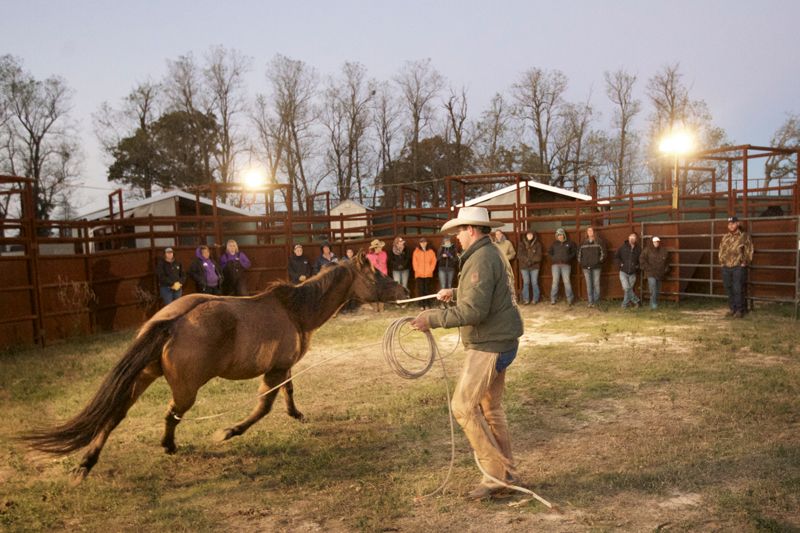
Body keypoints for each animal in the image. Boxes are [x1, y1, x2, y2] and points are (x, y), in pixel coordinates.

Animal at [21, 251, 410, 480]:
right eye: (376, 275)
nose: (402, 293)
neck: (294, 311)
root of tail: (173, 321)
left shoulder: (281, 369)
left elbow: (287, 392)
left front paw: (297, 414)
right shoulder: (274, 370)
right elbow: (264, 406)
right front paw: (228, 432)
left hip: (143, 377)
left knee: (116, 414)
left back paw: (87, 463)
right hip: (186, 389)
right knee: (171, 414)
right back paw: (168, 446)